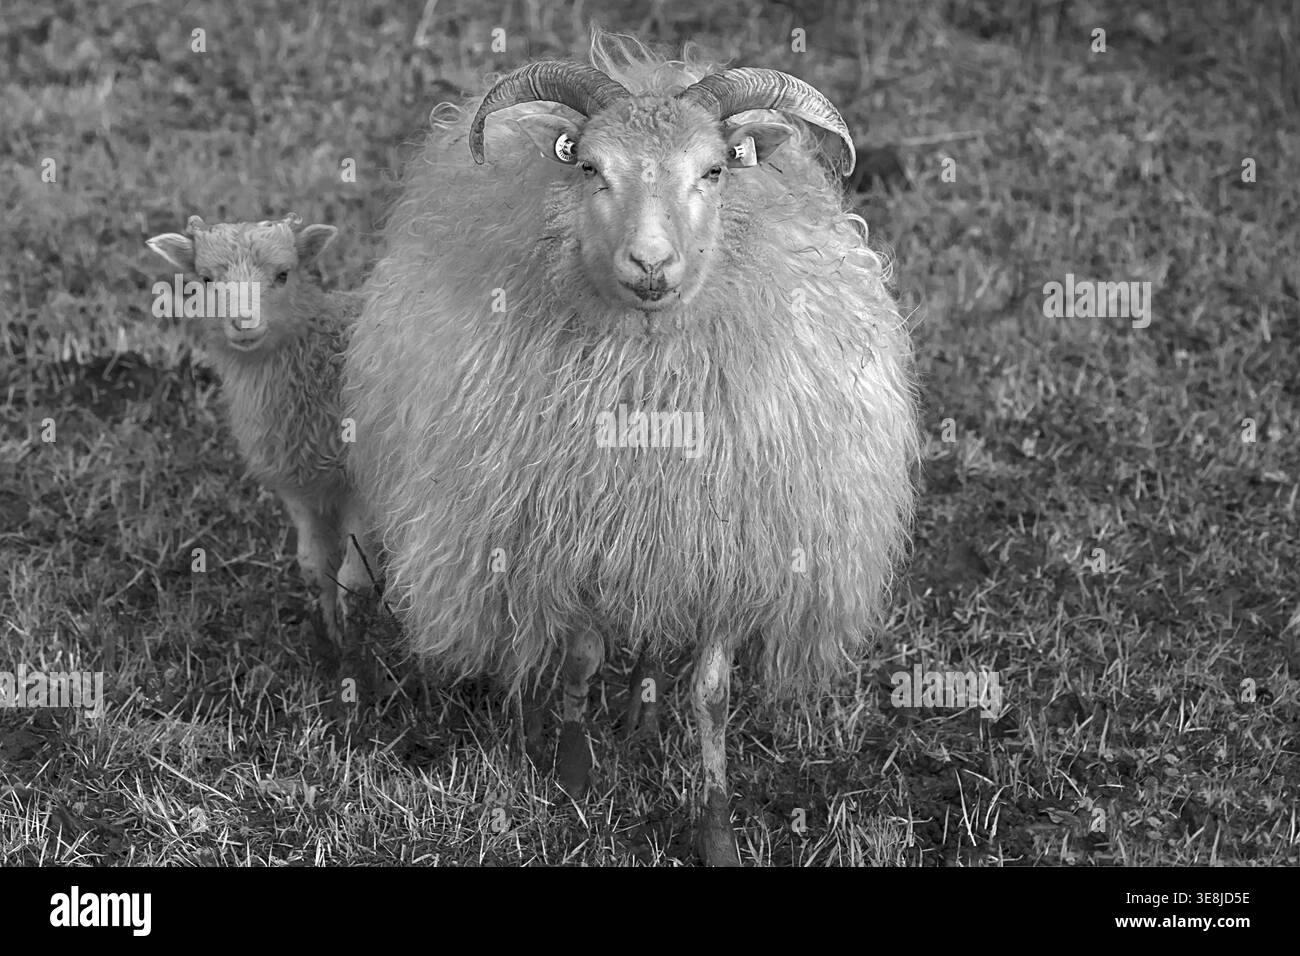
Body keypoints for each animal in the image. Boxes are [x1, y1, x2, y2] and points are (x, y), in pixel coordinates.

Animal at [146, 214, 375, 644]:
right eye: (205, 279)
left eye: (283, 274)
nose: (243, 322)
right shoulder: (298, 484)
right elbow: (314, 565)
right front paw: (330, 635)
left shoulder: (364, 488)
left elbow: (354, 580)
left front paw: (357, 648)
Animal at [343, 32, 919, 866]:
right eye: (589, 167)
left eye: (714, 169)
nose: (651, 265)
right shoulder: (578, 531)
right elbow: (582, 658)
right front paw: (575, 777)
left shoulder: (732, 544)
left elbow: (712, 694)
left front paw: (715, 826)